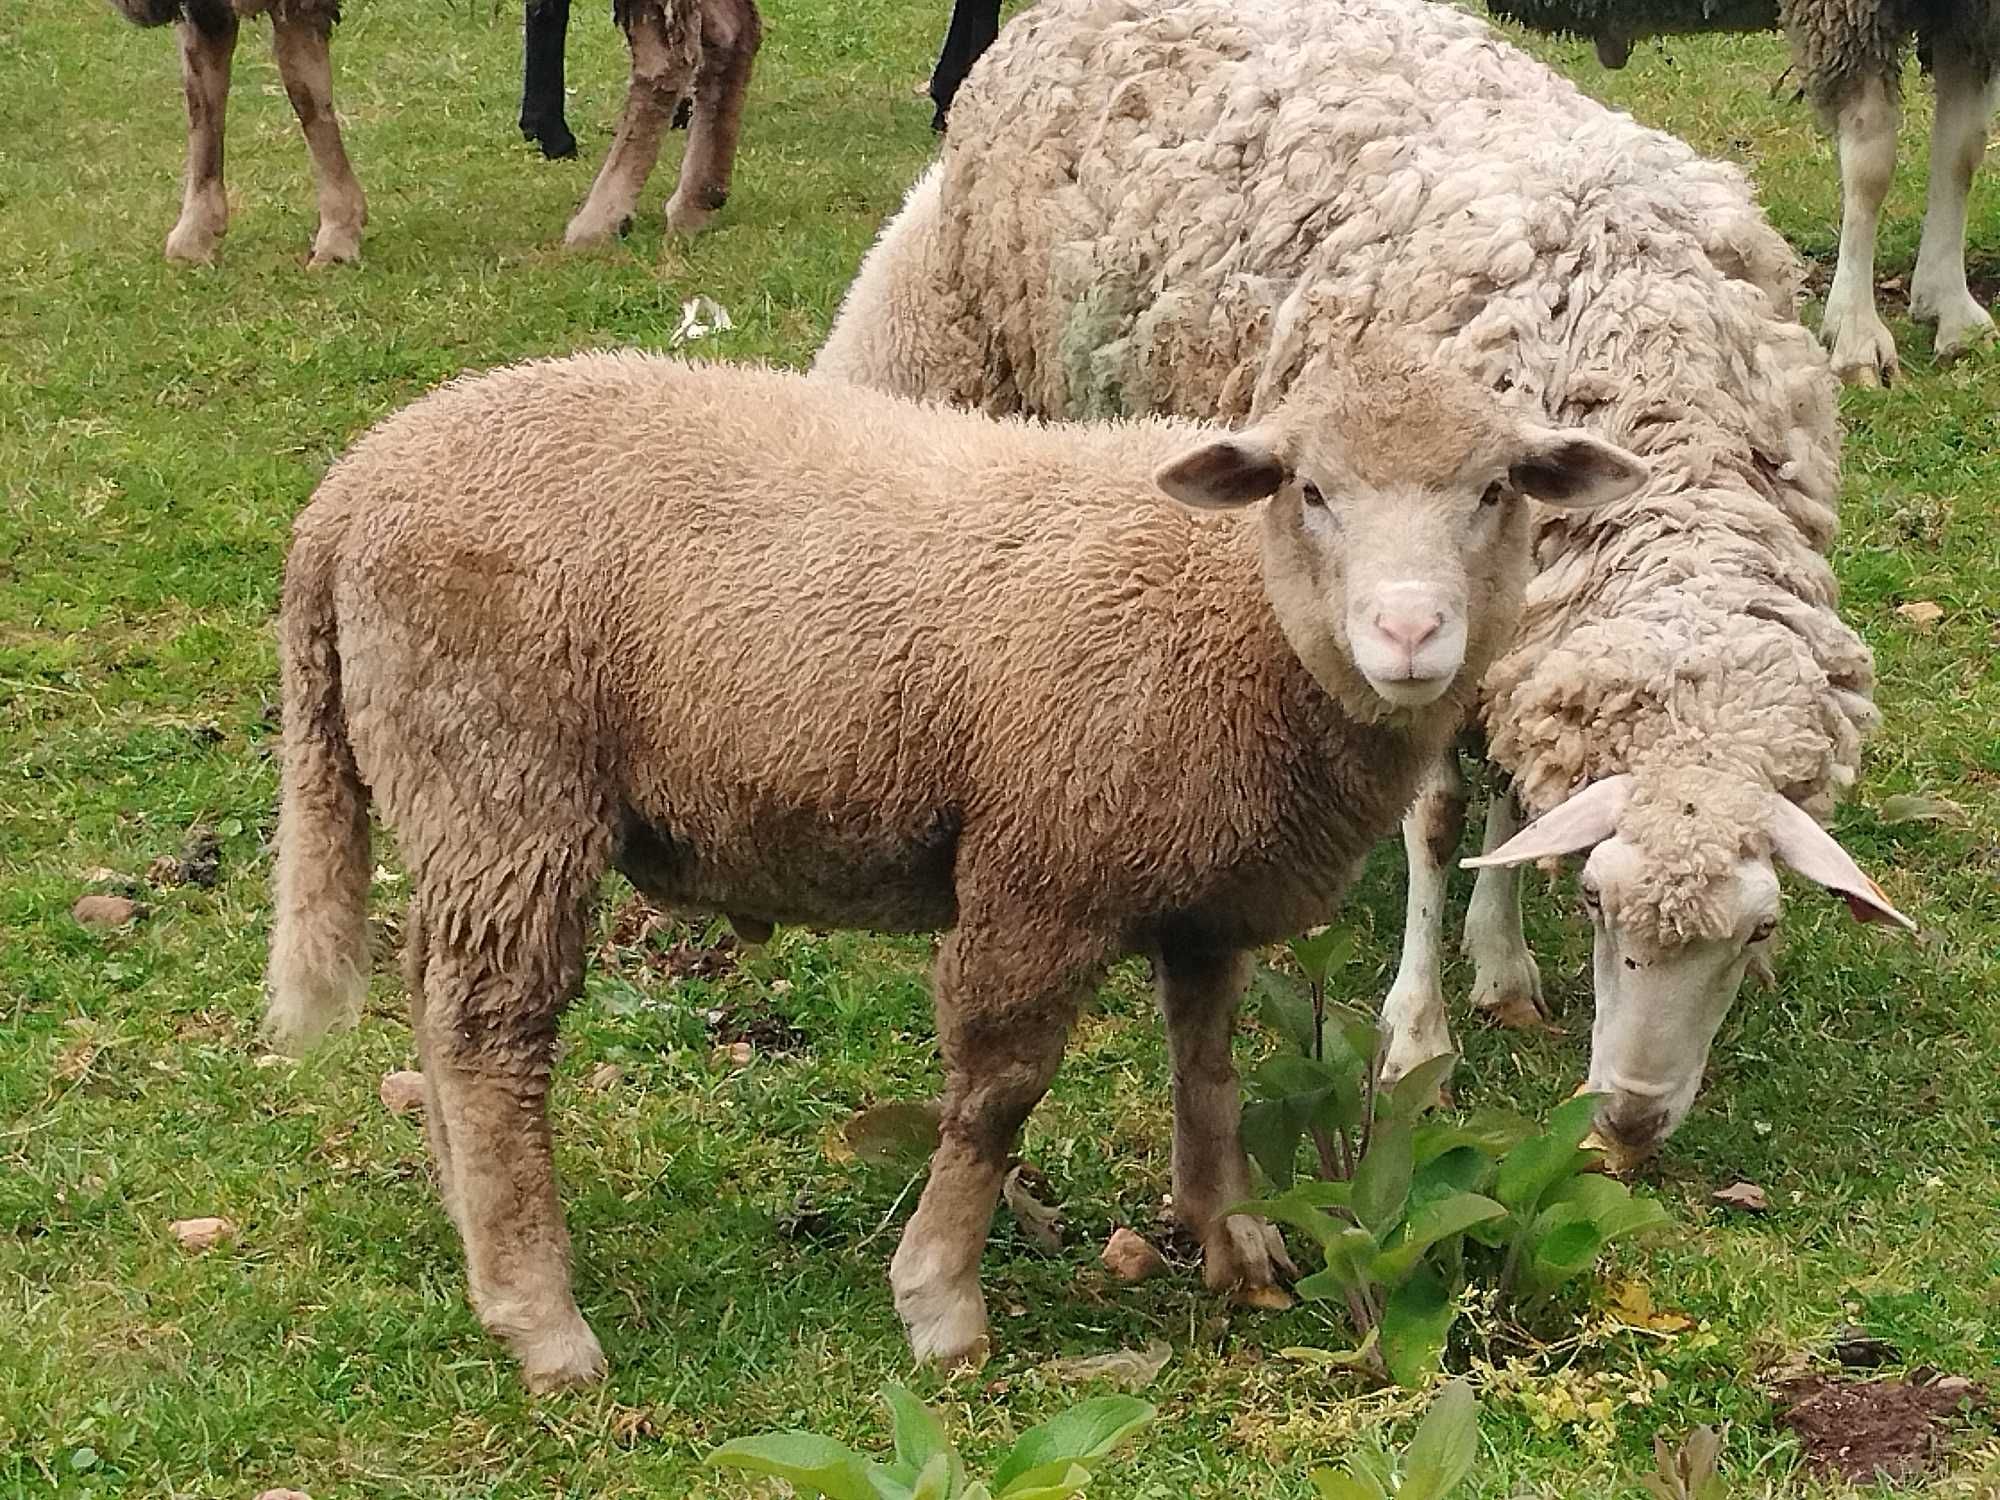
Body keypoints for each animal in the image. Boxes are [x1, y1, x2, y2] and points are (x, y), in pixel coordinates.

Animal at [113, 0, 760, 268]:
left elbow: (303, 89)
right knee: (732, 33)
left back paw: (602, 218)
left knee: (665, 62)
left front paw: (338, 231)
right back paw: (697, 199)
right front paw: (195, 232)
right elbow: (202, 93)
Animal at [262, 346, 1640, 1392]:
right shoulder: (1040, 867)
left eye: (1496, 489)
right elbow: (995, 1096)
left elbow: (1206, 1070)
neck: (1234, 616)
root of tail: (346, 493)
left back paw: (473, 1235)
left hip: (456, 795)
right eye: (1308, 489)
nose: (1408, 633)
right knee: (494, 1039)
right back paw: (540, 1316)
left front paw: (1233, 1237)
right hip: (505, 775)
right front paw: (939, 1302)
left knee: (438, 1009)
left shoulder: (1198, 887)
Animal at [816, 0, 1920, 1168]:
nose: (1626, 1124)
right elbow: (1433, 823)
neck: (1652, 388)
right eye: (1592, 903)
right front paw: (1416, 1034)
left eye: (1759, 930)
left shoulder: (1514, 622)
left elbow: (1501, 799)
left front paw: (1500, 959)